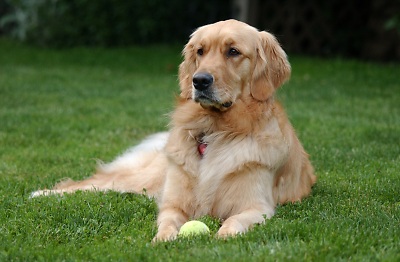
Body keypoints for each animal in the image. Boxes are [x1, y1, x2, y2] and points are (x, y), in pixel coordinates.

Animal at [32, 19, 316, 242]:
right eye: (200, 51)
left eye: (233, 51)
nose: (199, 80)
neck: (214, 130)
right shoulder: (173, 203)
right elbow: (167, 222)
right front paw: (163, 239)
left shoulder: (257, 207)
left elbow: (232, 223)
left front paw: (222, 236)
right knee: (89, 183)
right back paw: (41, 193)